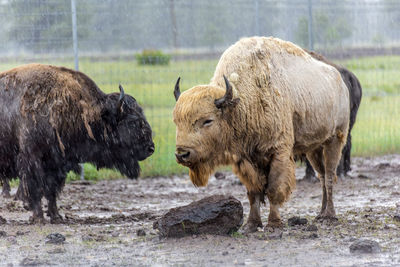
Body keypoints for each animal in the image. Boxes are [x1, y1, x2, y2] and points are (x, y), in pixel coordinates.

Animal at [0, 64, 154, 224]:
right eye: (132, 121)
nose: (150, 148)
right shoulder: (32, 159)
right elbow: (35, 189)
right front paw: (39, 217)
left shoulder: (56, 164)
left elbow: (51, 191)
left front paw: (56, 217)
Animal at [173, 36, 348, 233]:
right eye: (176, 121)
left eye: (207, 120)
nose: (182, 154)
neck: (243, 102)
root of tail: (340, 81)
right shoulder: (245, 159)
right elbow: (254, 192)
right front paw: (251, 224)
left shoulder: (278, 152)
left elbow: (273, 188)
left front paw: (273, 223)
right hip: (313, 149)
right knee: (322, 175)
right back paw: (320, 213)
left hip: (335, 140)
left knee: (330, 176)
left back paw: (329, 216)